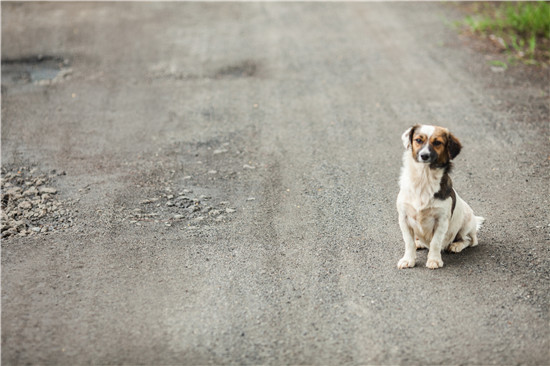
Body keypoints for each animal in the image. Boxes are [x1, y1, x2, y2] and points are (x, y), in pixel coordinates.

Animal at [396, 124, 488, 268]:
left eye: (437, 142)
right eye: (418, 140)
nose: (424, 155)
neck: (424, 178)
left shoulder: (441, 221)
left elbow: (435, 242)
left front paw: (434, 260)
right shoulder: (404, 218)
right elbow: (409, 242)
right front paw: (408, 260)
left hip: (466, 224)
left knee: (470, 240)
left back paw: (456, 245)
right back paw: (420, 242)